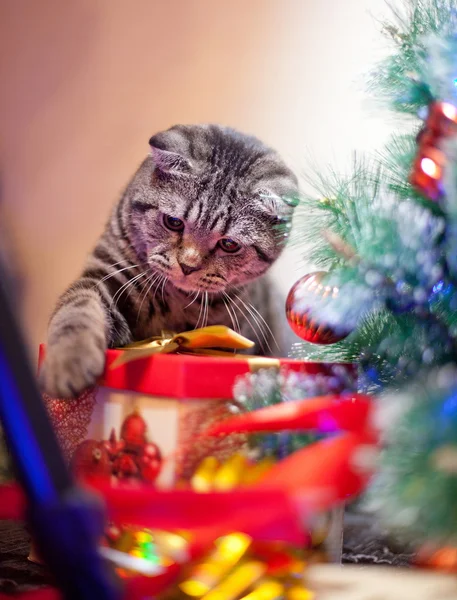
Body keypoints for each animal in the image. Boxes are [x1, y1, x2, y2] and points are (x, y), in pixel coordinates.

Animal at [41, 125, 300, 398]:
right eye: (173, 222)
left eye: (229, 244)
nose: (188, 265)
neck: (173, 302)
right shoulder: (104, 273)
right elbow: (77, 309)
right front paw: (70, 359)